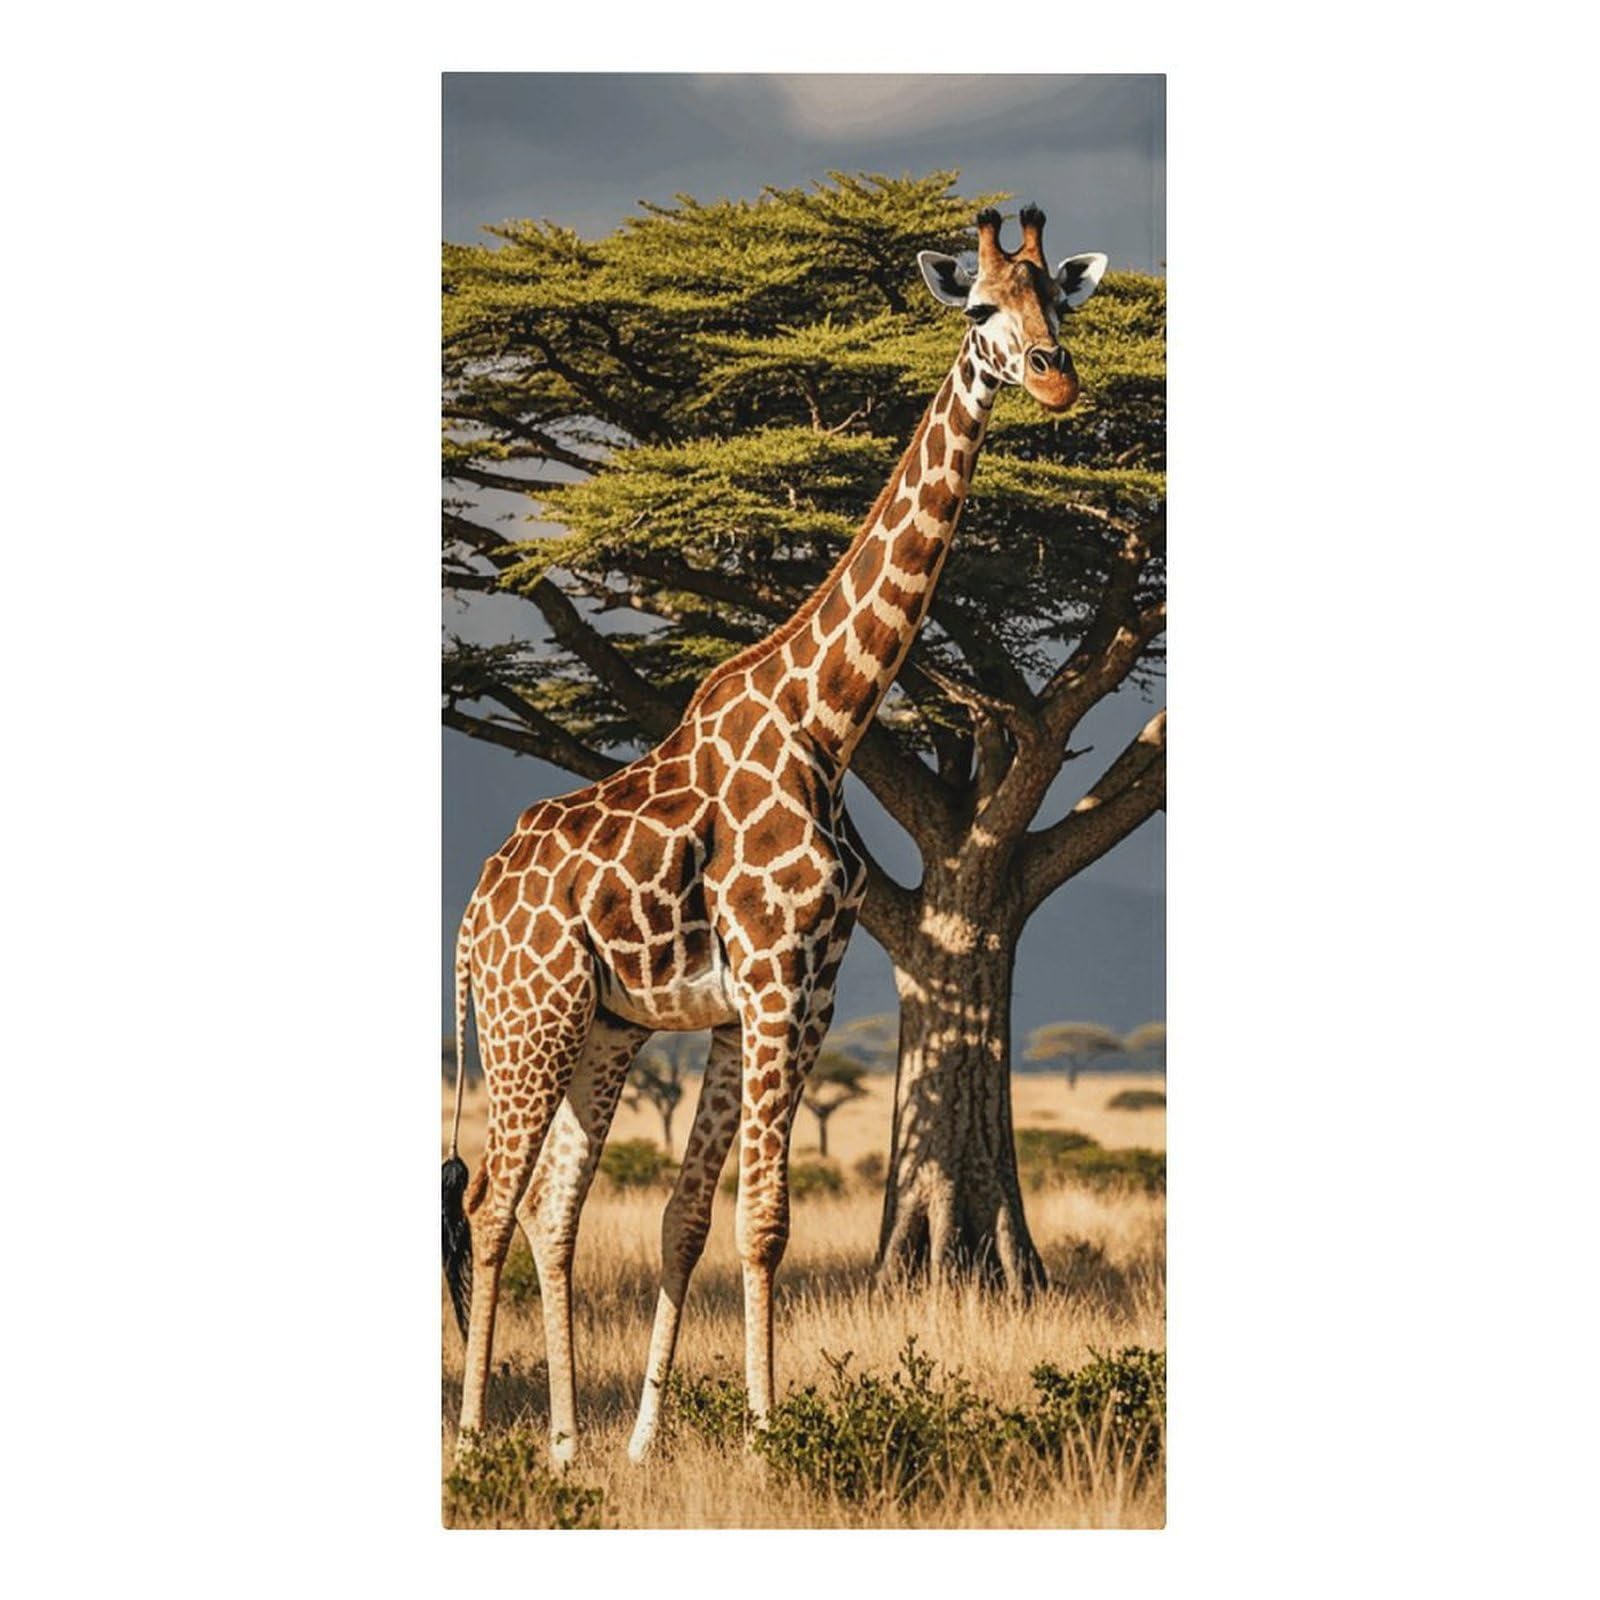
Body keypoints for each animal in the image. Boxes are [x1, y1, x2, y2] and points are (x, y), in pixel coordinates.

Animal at [442, 205, 1109, 1466]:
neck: (827, 721)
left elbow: (686, 1216)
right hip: (527, 1018)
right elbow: (762, 1220)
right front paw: (767, 1437)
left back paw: (564, 1442)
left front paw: (651, 1441)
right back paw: (472, 1439)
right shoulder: (773, 979)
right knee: (487, 1202)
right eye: (979, 308)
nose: (1055, 379)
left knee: (551, 1207)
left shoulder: (780, 994)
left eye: (1059, 300)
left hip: (603, 1027)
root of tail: (469, 918)